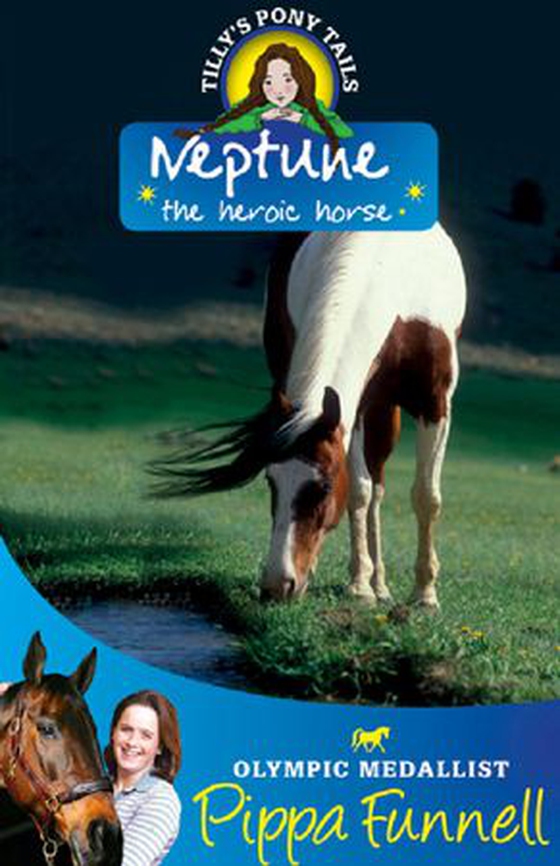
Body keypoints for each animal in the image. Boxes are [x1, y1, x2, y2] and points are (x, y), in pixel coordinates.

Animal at [153, 225, 466, 610]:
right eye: (270, 482)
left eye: (323, 487)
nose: (277, 585)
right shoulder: (353, 410)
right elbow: (359, 492)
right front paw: (359, 586)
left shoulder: (435, 403)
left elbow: (425, 496)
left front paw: (424, 594)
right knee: (372, 488)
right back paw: (372, 582)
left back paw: (383, 584)